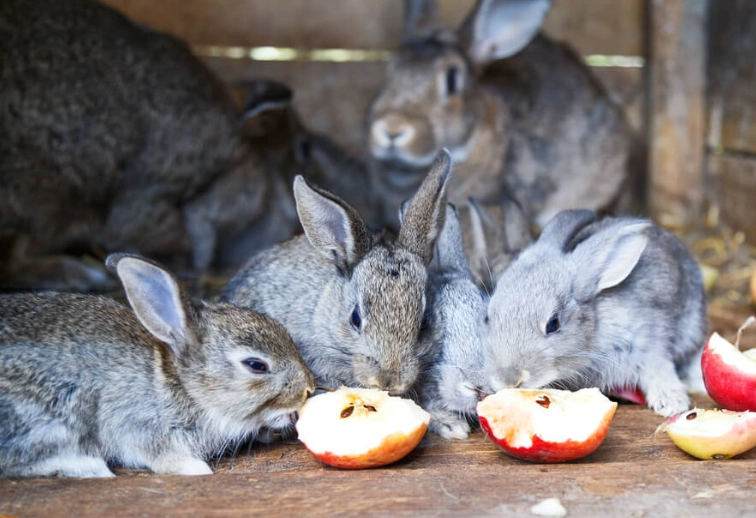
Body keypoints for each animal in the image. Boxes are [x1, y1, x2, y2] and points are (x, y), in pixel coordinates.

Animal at [0, 253, 315, 479]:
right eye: (255, 365)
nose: (308, 389)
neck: (183, 385)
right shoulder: (138, 425)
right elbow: (158, 455)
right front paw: (195, 468)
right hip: (49, 417)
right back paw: (91, 468)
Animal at [482, 210, 708, 417]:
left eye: (553, 324)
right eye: (488, 318)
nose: (508, 379)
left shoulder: (649, 343)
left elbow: (658, 368)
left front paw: (671, 404)